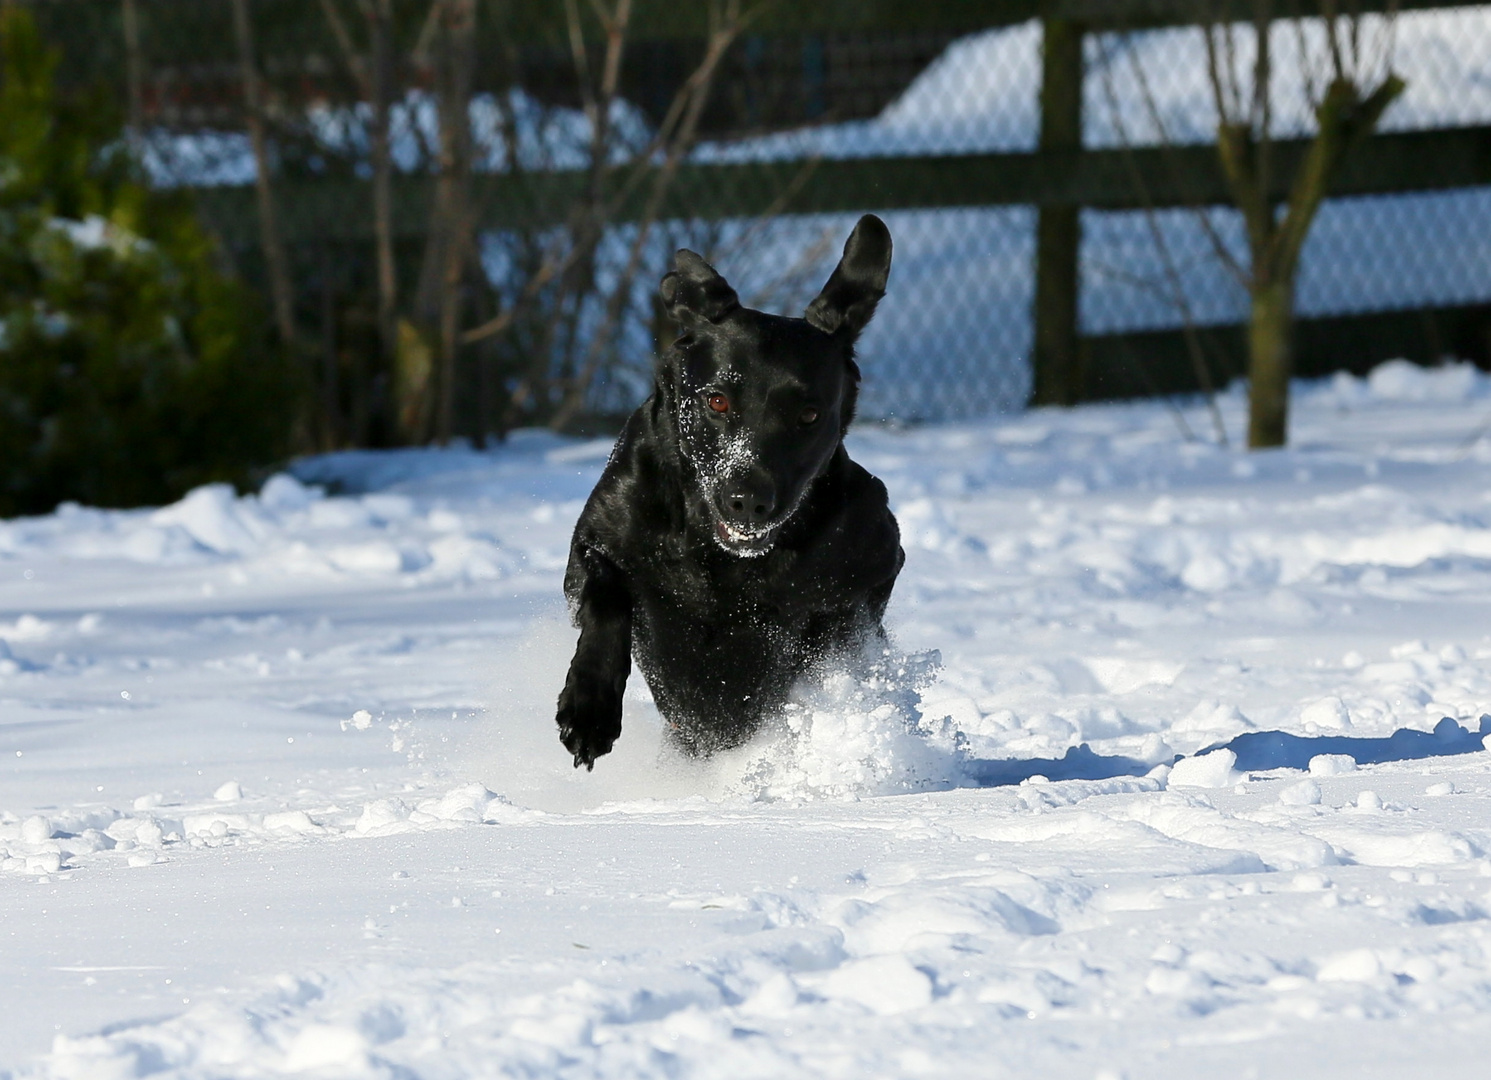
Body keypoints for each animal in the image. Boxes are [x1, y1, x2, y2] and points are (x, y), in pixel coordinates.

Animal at [554, 213, 900, 769]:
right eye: (716, 401)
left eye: (809, 415)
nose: (749, 500)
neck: (721, 557)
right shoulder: (597, 538)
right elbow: (606, 598)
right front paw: (589, 711)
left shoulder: (875, 557)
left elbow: (821, 633)